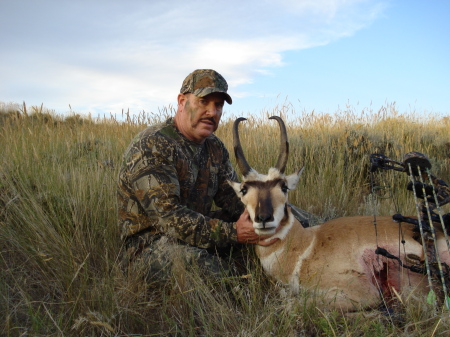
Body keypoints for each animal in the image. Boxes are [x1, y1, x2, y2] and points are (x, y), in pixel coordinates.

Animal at [229, 115, 450, 310]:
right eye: (244, 190)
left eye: (283, 187)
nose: (264, 218)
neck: (307, 244)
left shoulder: (361, 292)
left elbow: (293, 304)